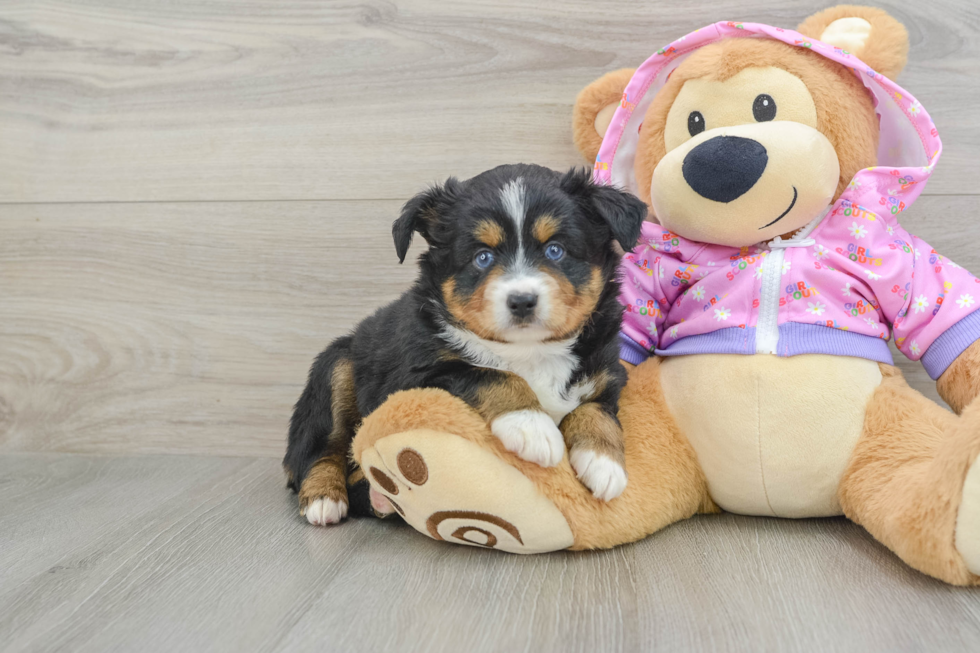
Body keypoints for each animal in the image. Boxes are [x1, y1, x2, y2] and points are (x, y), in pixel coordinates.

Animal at [284, 163, 648, 524]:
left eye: (555, 250)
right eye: (482, 257)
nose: (522, 301)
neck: (530, 350)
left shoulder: (608, 370)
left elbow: (598, 409)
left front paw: (604, 463)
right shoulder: (416, 376)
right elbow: (492, 375)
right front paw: (532, 427)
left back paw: (380, 497)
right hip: (337, 365)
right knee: (318, 449)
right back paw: (325, 499)